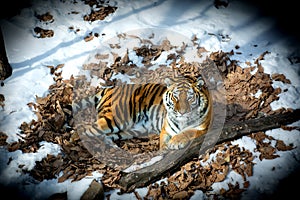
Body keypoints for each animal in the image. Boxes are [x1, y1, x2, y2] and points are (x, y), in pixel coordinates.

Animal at [73, 75, 212, 150]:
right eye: (175, 97)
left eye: (190, 98)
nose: (182, 112)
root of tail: (110, 88)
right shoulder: (165, 130)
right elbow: (163, 141)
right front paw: (165, 149)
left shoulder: (205, 127)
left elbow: (188, 132)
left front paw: (174, 142)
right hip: (116, 119)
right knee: (85, 129)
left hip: (129, 131)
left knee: (103, 135)